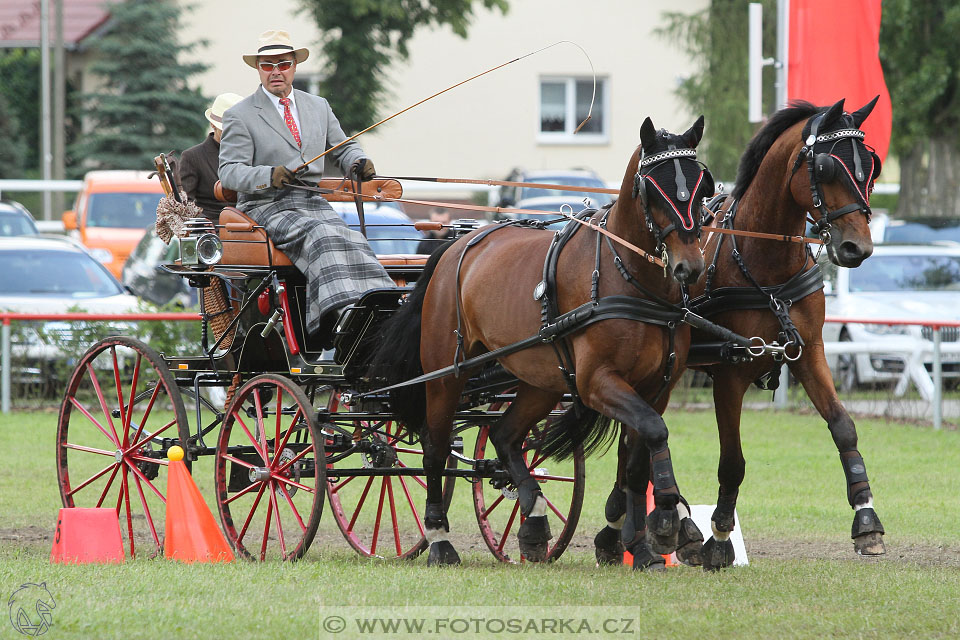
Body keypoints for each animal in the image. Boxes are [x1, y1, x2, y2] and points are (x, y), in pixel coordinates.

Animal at [372, 117, 716, 568]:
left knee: (504, 435)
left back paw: (533, 518)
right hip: (447, 373)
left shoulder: (656, 388)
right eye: (652, 189)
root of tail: (453, 246)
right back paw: (440, 539)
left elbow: (639, 456)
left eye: (701, 187)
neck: (628, 277)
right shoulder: (596, 381)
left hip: (541, 381)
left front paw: (642, 543)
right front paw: (666, 520)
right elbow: (654, 433)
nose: (689, 267)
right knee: (435, 448)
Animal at [600, 97, 884, 568]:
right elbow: (732, 461)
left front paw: (866, 517)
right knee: (637, 436)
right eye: (826, 168)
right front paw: (719, 537)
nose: (856, 248)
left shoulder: (808, 352)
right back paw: (659, 525)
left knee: (634, 436)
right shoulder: (731, 373)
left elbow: (843, 425)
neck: (764, 266)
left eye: (870, 167)